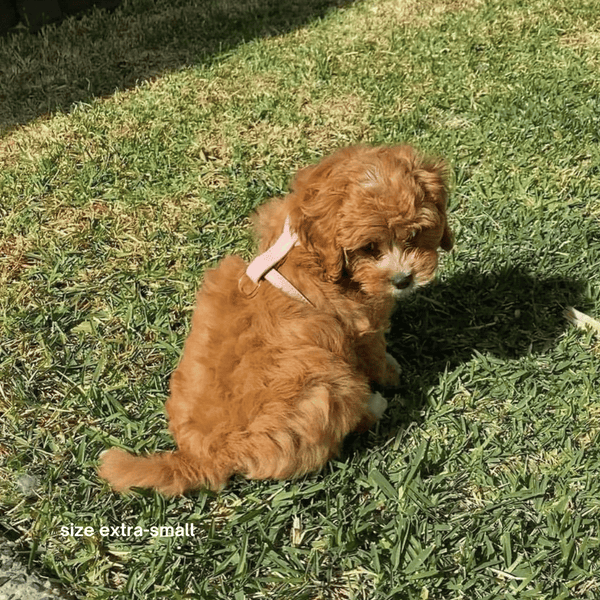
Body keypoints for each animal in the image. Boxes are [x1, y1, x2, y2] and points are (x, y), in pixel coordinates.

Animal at [99, 143, 454, 494]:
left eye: (415, 235)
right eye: (368, 248)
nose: (403, 280)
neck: (311, 253)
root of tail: (204, 458)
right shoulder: (361, 326)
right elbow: (376, 355)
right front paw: (392, 373)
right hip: (329, 384)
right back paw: (375, 405)